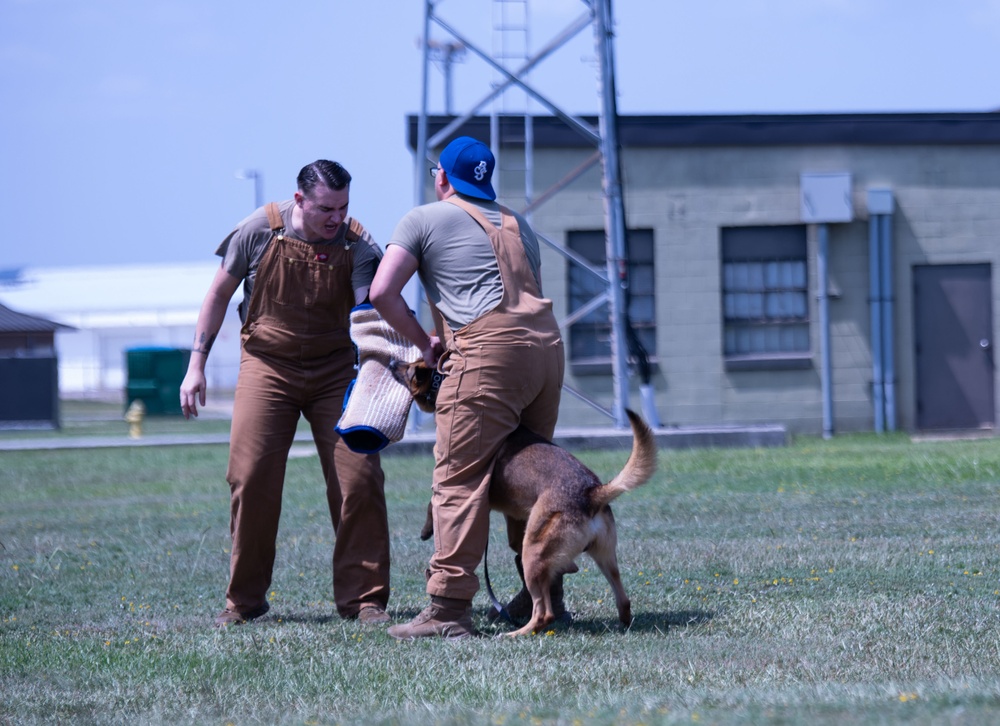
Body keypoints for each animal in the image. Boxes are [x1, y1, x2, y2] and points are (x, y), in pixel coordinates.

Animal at [388, 358, 656, 636]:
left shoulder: (450, 481)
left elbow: (432, 503)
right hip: (604, 558)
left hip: (534, 553)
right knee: (623, 599)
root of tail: (592, 492)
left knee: (543, 613)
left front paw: (426, 529)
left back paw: (514, 633)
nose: (393, 361)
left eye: (411, 368)